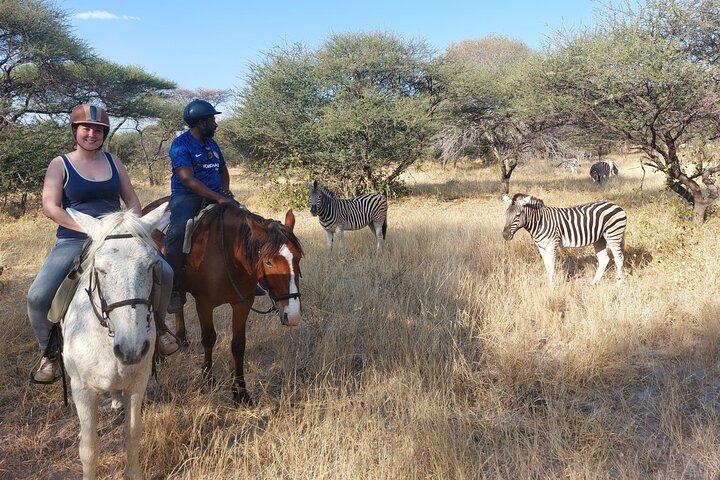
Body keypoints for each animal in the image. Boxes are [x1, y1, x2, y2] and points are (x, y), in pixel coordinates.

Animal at [62, 203, 168, 480]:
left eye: (151, 266)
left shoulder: (138, 382)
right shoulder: (82, 390)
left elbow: (132, 433)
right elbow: (88, 447)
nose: (132, 348)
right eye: (100, 270)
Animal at [143, 197, 303, 405]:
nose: (293, 315)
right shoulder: (204, 304)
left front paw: (241, 393)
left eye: (298, 258)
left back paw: (183, 341)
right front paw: (208, 380)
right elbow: (209, 339)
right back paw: (160, 356)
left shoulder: (243, 303)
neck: (228, 253)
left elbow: (238, 345)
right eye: (268, 262)